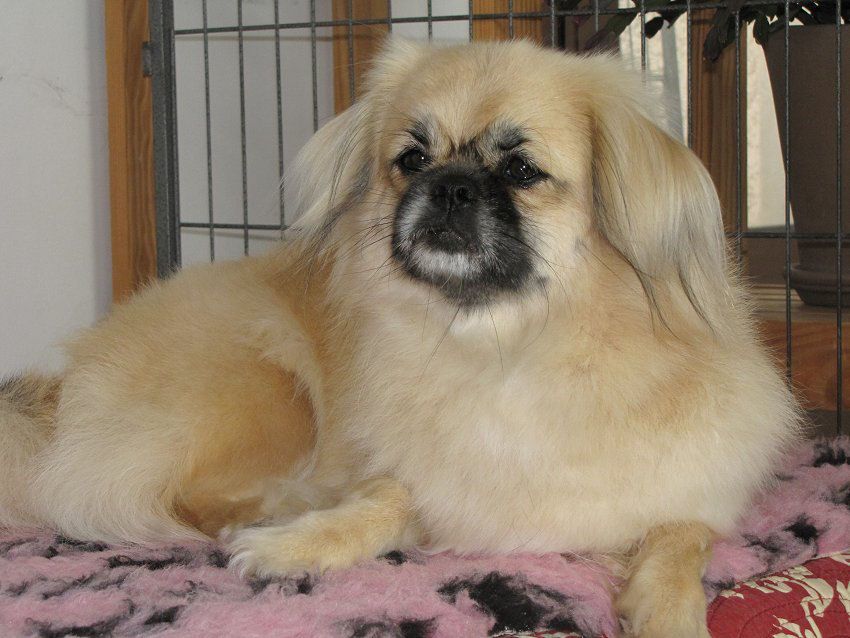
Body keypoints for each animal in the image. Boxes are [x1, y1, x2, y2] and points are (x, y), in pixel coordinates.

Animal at [0, 39, 800, 636]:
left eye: (520, 169)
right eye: (412, 159)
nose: (449, 186)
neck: (506, 350)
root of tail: (58, 400)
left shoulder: (687, 493)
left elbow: (679, 539)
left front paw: (667, 611)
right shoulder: (420, 479)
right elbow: (381, 502)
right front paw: (294, 543)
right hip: (268, 389)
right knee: (177, 499)